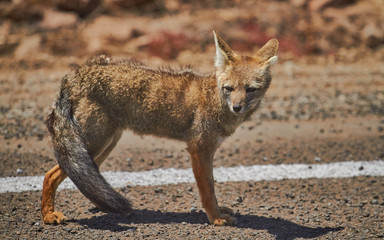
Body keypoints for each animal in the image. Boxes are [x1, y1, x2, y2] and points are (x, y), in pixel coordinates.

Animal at [42, 31, 280, 225]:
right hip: (92, 144)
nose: (237, 107)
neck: (215, 100)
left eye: (250, 89)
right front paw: (216, 218)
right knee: (50, 174)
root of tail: (74, 75)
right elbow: (208, 191)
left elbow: (211, 188)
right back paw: (48, 215)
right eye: (229, 88)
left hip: (100, 147)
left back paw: (105, 206)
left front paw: (219, 213)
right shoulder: (199, 150)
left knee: (86, 179)